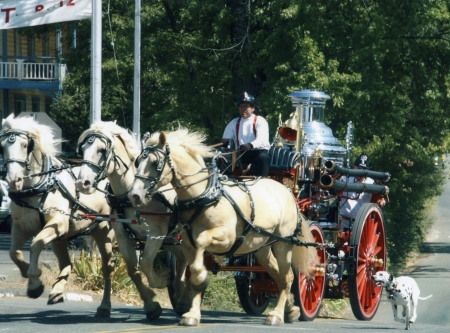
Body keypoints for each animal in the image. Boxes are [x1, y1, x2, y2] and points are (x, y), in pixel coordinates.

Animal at [0, 114, 116, 316]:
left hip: (103, 231)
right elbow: (14, 253)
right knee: (66, 264)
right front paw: (30, 277)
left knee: (107, 268)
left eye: (25, 145)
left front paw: (35, 282)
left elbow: (36, 245)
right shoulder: (20, 228)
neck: (40, 185)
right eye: (3, 146)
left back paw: (105, 306)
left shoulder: (57, 224)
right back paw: (57, 292)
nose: (14, 181)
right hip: (61, 238)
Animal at [75, 120, 186, 320]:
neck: (127, 195)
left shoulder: (156, 235)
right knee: (184, 258)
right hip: (173, 240)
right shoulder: (123, 236)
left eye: (102, 150)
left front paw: (160, 283)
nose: (82, 184)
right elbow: (133, 270)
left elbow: (146, 264)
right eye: (84, 148)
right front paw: (151, 305)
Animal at [128, 128, 318, 326]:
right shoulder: (188, 245)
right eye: (138, 161)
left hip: (283, 243)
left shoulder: (226, 238)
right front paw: (192, 313)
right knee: (278, 275)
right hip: (261, 248)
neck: (204, 195)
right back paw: (291, 310)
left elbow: (201, 243)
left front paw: (201, 281)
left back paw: (277, 314)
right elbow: (193, 270)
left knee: (288, 276)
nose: (134, 195)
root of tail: (287, 191)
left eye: (155, 163)